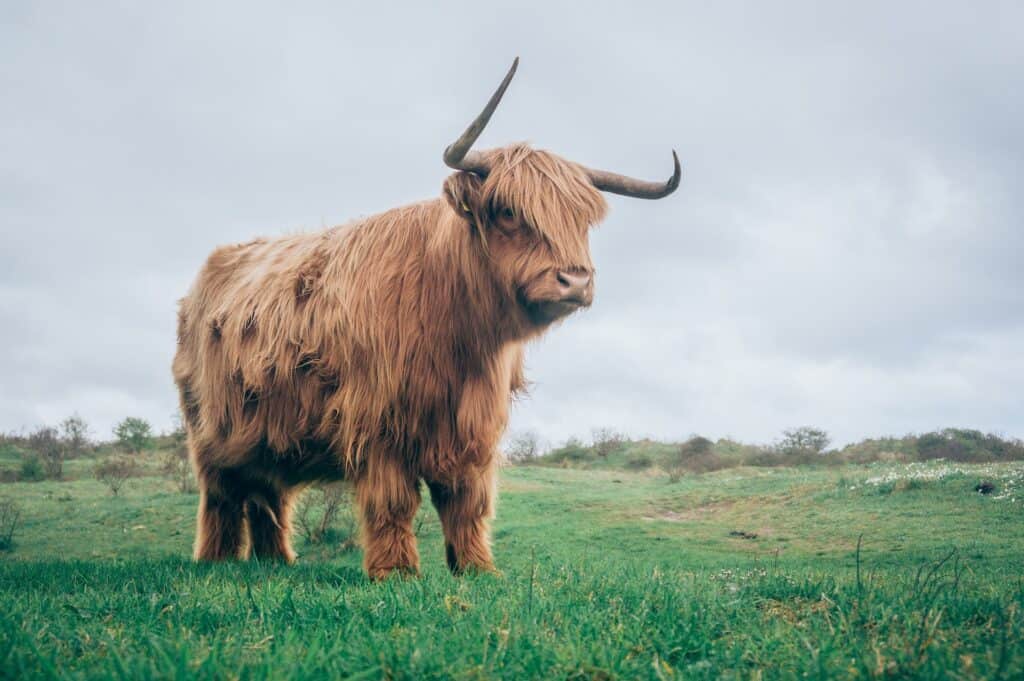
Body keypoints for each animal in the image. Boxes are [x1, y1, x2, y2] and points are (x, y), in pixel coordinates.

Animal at [174, 59, 679, 577]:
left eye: (581, 220)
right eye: (507, 211)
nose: (575, 281)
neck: (459, 335)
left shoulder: (474, 429)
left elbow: (467, 502)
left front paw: (477, 569)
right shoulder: (378, 422)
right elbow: (393, 502)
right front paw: (396, 572)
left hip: (266, 434)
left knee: (267, 494)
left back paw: (276, 561)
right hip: (210, 431)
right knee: (222, 495)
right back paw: (216, 560)